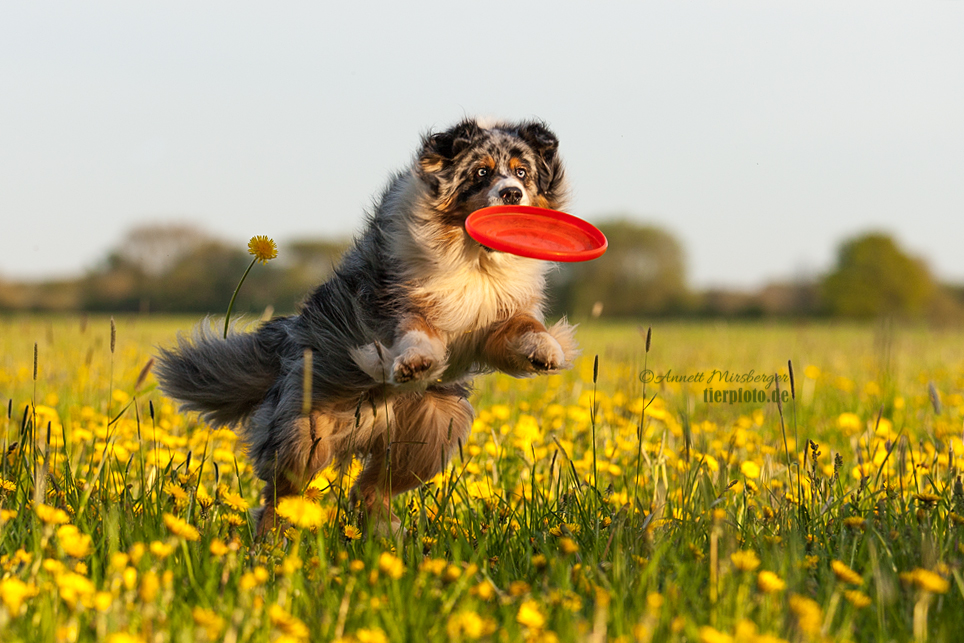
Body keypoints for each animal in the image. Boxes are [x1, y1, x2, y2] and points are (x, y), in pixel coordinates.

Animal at [157, 118, 576, 536]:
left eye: (522, 172)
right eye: (481, 173)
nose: (512, 194)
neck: (474, 258)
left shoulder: (496, 319)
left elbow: (523, 326)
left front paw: (546, 351)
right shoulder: (395, 301)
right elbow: (416, 329)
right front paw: (416, 363)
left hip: (434, 433)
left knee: (371, 487)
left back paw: (386, 531)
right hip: (305, 432)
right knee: (282, 492)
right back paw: (270, 542)